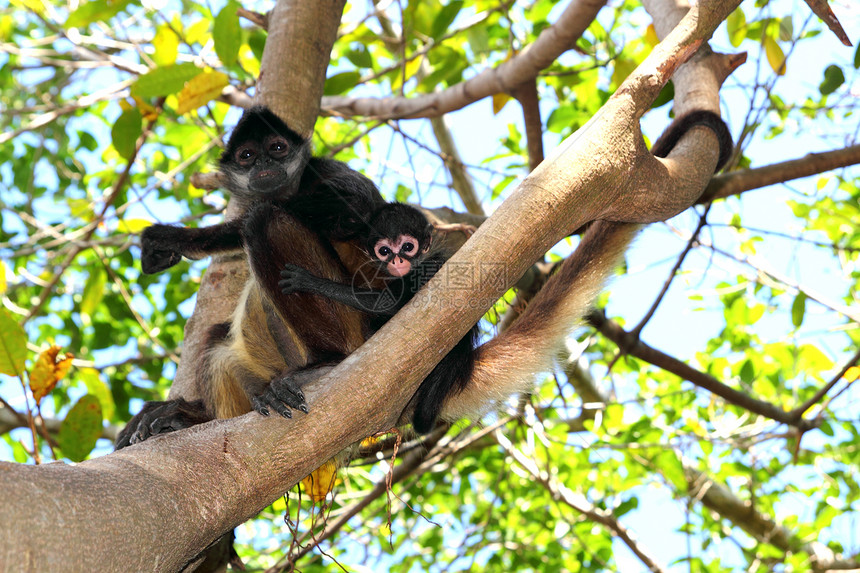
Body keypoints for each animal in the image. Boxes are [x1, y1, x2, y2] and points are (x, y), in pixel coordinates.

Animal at [278, 202, 478, 434]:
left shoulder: (426, 266)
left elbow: (388, 303)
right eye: (384, 251)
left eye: (407, 247)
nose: (398, 260)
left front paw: (309, 281)